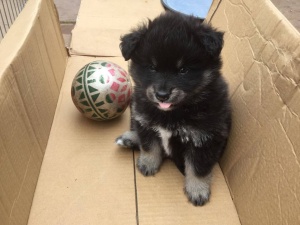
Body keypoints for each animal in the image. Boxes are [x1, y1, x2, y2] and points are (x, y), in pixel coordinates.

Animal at [116, 11, 231, 206]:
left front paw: (197, 190)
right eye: (152, 67)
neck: (173, 113)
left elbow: (198, 168)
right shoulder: (144, 120)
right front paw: (148, 164)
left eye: (183, 70)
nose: (162, 95)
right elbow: (149, 145)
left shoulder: (205, 139)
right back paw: (129, 138)